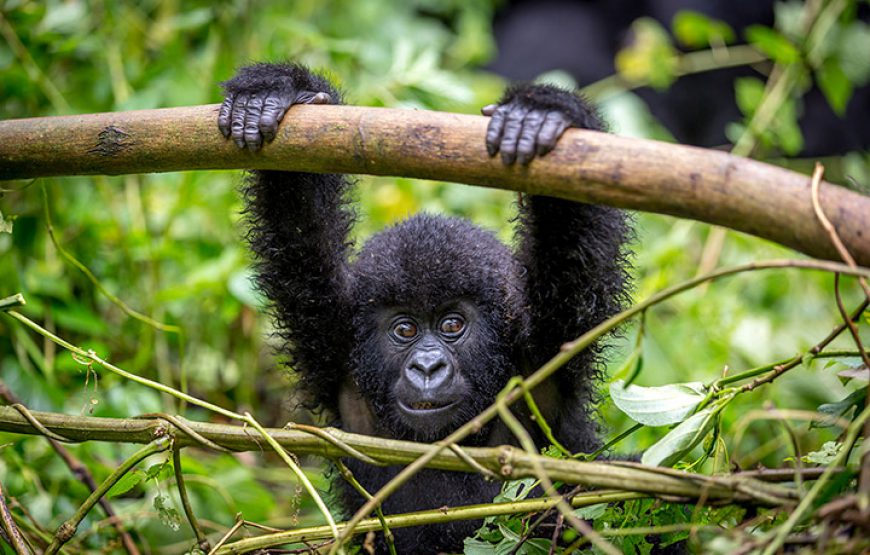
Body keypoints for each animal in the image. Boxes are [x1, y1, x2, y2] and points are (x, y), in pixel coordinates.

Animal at [221, 63, 632, 552]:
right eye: (405, 330)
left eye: (452, 324)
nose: (427, 367)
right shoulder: (331, 337)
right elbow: (298, 226)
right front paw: (275, 93)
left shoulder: (547, 349)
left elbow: (573, 242)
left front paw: (543, 113)